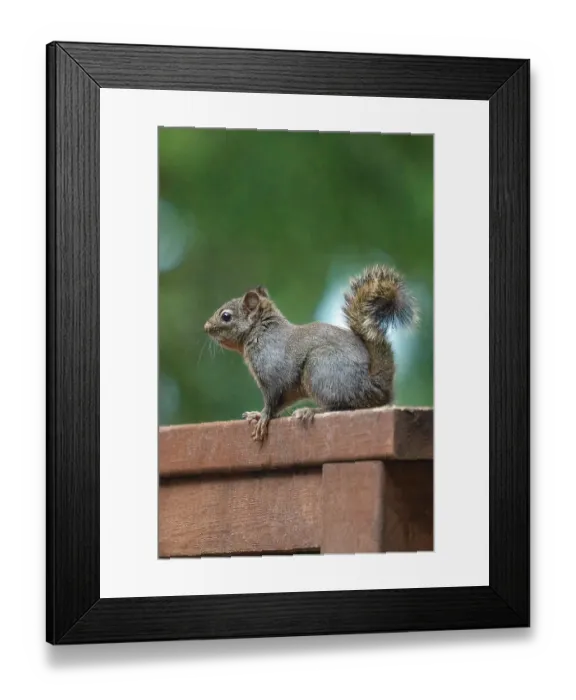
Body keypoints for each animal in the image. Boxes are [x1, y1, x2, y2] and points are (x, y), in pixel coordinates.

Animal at [203, 263, 419, 442]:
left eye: (226, 316)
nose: (206, 327)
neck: (260, 333)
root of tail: (376, 386)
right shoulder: (286, 390)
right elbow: (280, 404)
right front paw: (257, 415)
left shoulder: (272, 375)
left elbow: (271, 401)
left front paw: (263, 418)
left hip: (320, 369)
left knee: (340, 407)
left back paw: (311, 411)